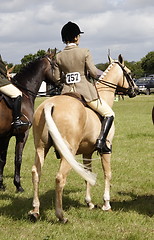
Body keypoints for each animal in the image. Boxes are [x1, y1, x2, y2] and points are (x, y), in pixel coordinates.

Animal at [0, 49, 59, 192]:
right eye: (55, 65)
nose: (61, 83)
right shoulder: (21, 134)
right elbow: (17, 159)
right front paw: (18, 185)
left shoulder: (5, 136)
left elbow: (3, 159)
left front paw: (2, 185)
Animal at [28, 54, 138, 223]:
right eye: (130, 73)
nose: (136, 90)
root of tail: (50, 104)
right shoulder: (106, 149)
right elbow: (108, 173)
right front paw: (106, 203)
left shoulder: (87, 152)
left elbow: (87, 174)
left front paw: (89, 202)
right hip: (68, 152)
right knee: (60, 178)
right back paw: (61, 216)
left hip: (41, 148)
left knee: (36, 173)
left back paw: (35, 211)